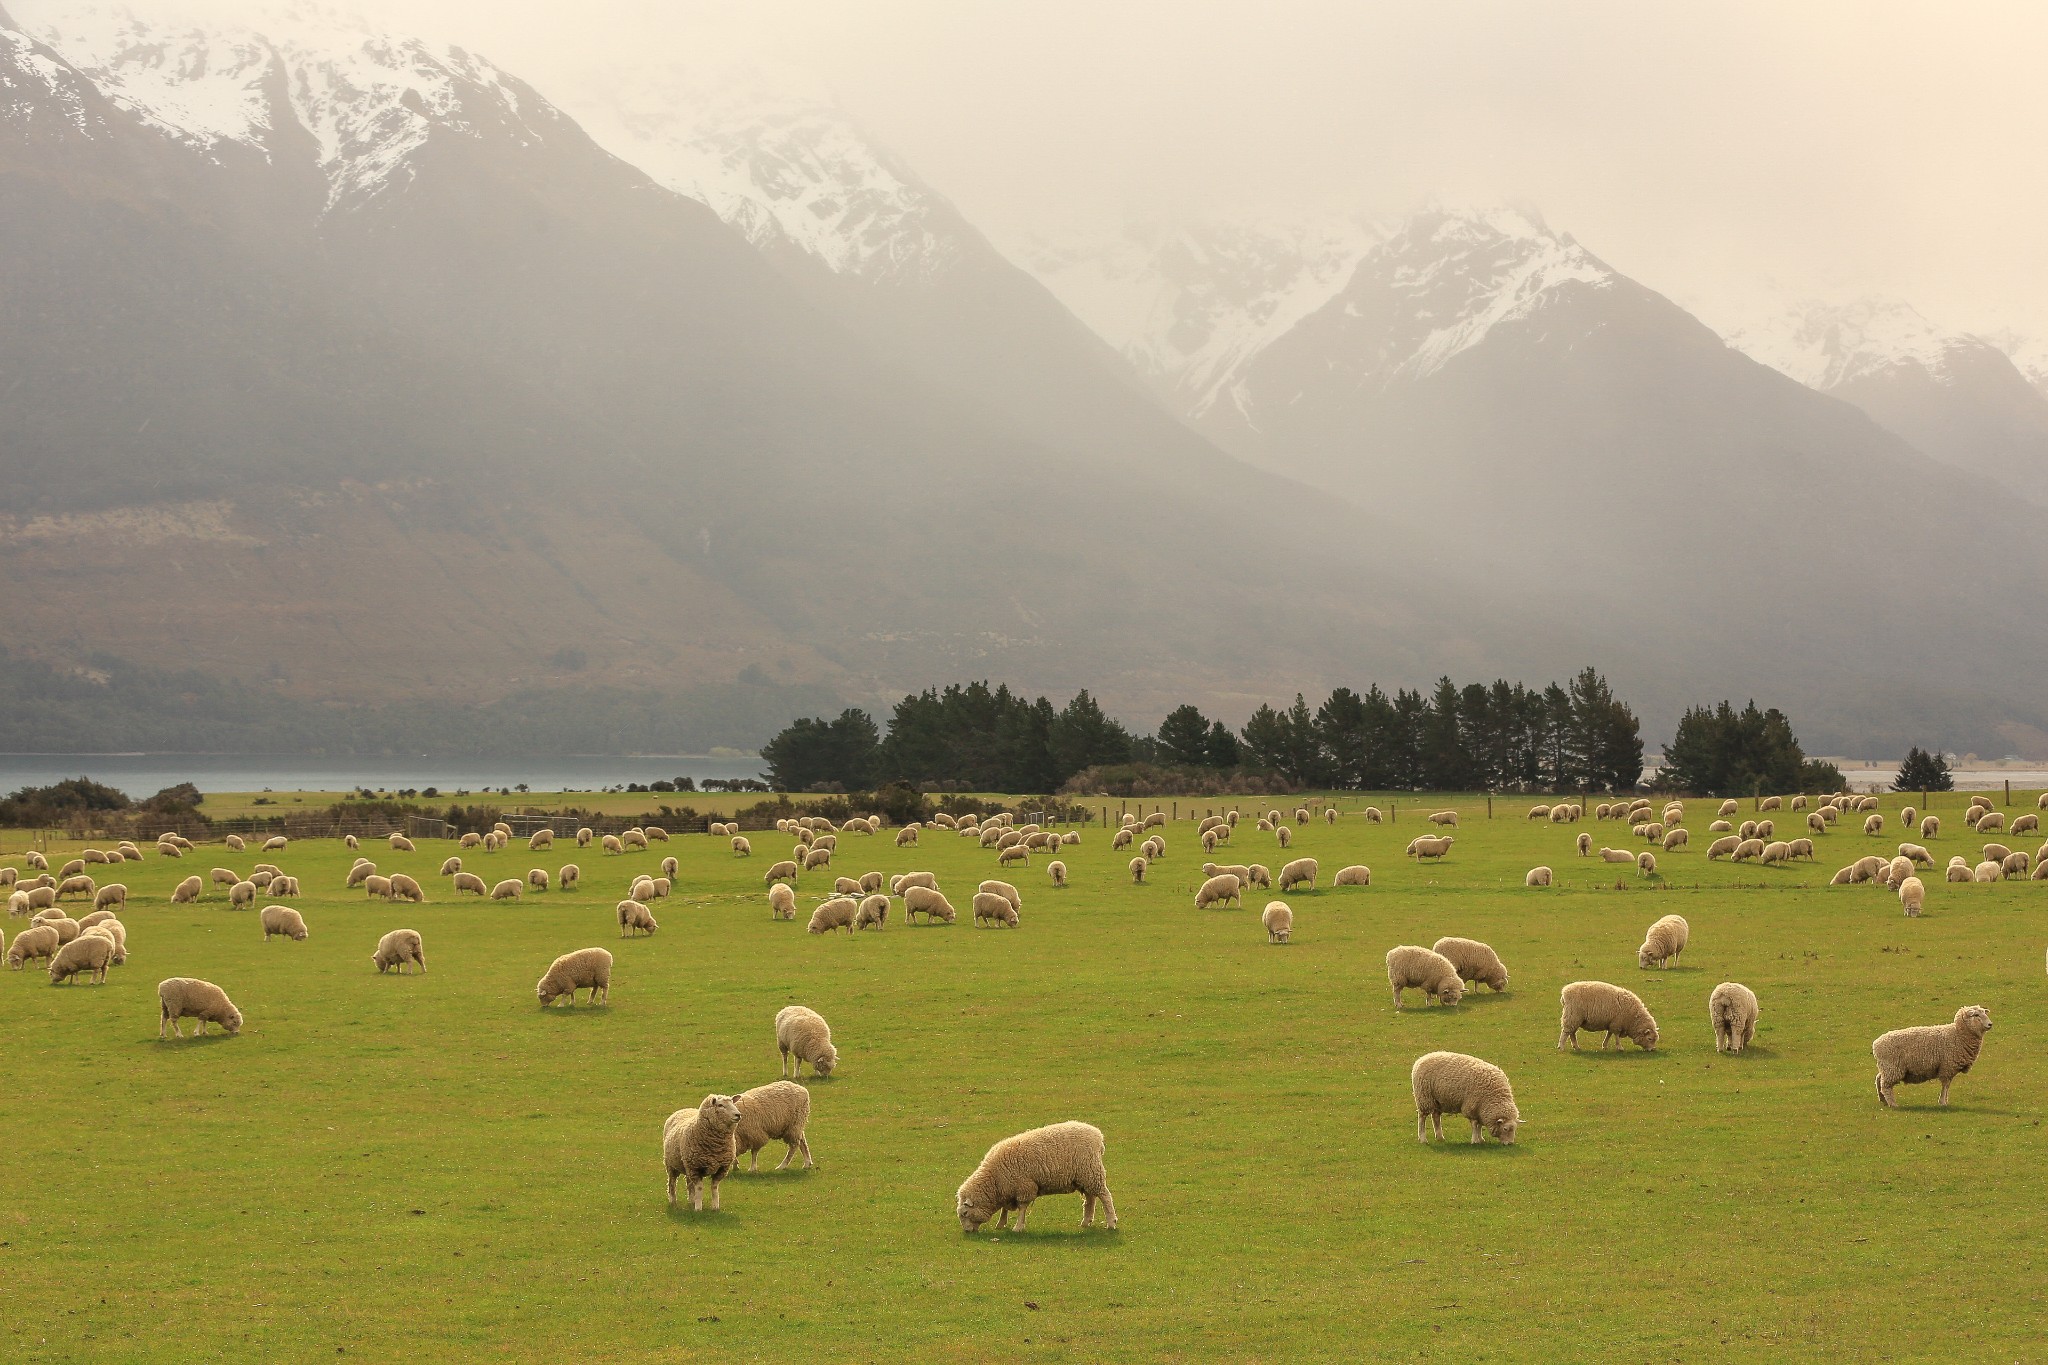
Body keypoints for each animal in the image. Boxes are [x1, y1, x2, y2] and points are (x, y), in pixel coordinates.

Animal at [958, 1121, 1122, 1236]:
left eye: (965, 1213)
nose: (967, 1231)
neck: (993, 1180)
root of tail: (1098, 1136)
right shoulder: (1008, 1189)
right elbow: (1005, 1208)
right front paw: (1001, 1224)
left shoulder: (1024, 1186)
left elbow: (1022, 1208)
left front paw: (1018, 1227)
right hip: (1084, 1176)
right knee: (1090, 1198)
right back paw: (1086, 1222)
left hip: (1091, 1171)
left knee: (1105, 1196)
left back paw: (1111, 1222)